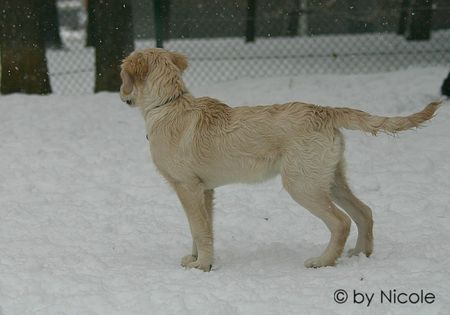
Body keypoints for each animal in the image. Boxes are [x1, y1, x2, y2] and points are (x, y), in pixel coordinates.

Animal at [118, 48, 440, 272]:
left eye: (123, 78)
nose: (122, 96)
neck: (167, 106)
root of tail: (324, 111)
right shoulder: (204, 190)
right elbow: (202, 229)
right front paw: (198, 258)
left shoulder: (188, 188)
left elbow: (199, 229)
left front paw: (202, 266)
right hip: (330, 179)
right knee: (364, 212)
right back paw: (360, 254)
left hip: (302, 185)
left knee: (341, 222)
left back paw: (323, 261)